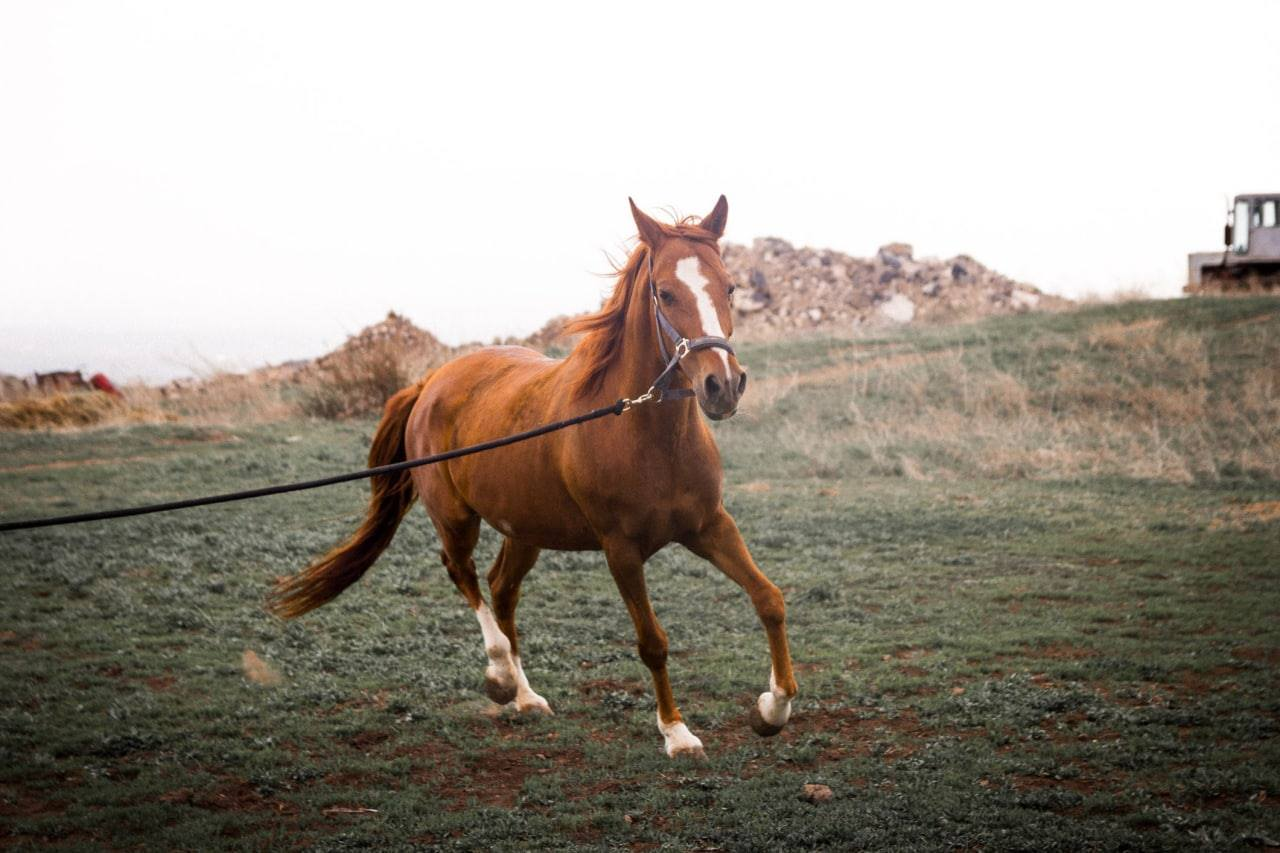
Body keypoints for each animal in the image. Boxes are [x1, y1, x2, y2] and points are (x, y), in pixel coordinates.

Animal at [270, 195, 793, 753]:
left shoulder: (710, 526)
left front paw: (773, 708)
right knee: (464, 574)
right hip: (456, 518)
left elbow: (770, 600)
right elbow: (652, 641)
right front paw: (676, 733)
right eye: (665, 292)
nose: (723, 386)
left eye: (730, 286)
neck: (646, 435)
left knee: (501, 588)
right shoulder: (621, 551)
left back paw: (524, 696)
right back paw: (501, 677)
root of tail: (431, 381)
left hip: (525, 528)